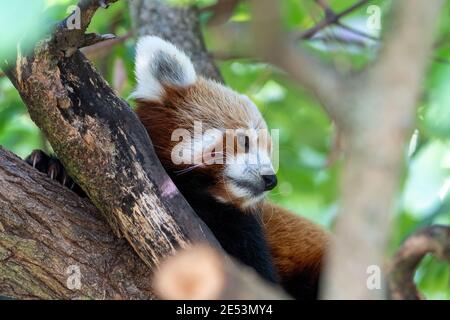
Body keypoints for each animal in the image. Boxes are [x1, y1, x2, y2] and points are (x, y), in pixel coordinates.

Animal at [27, 36, 330, 298]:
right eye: (245, 141)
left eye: (269, 151)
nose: (271, 179)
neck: (197, 191)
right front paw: (51, 166)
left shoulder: (245, 231)